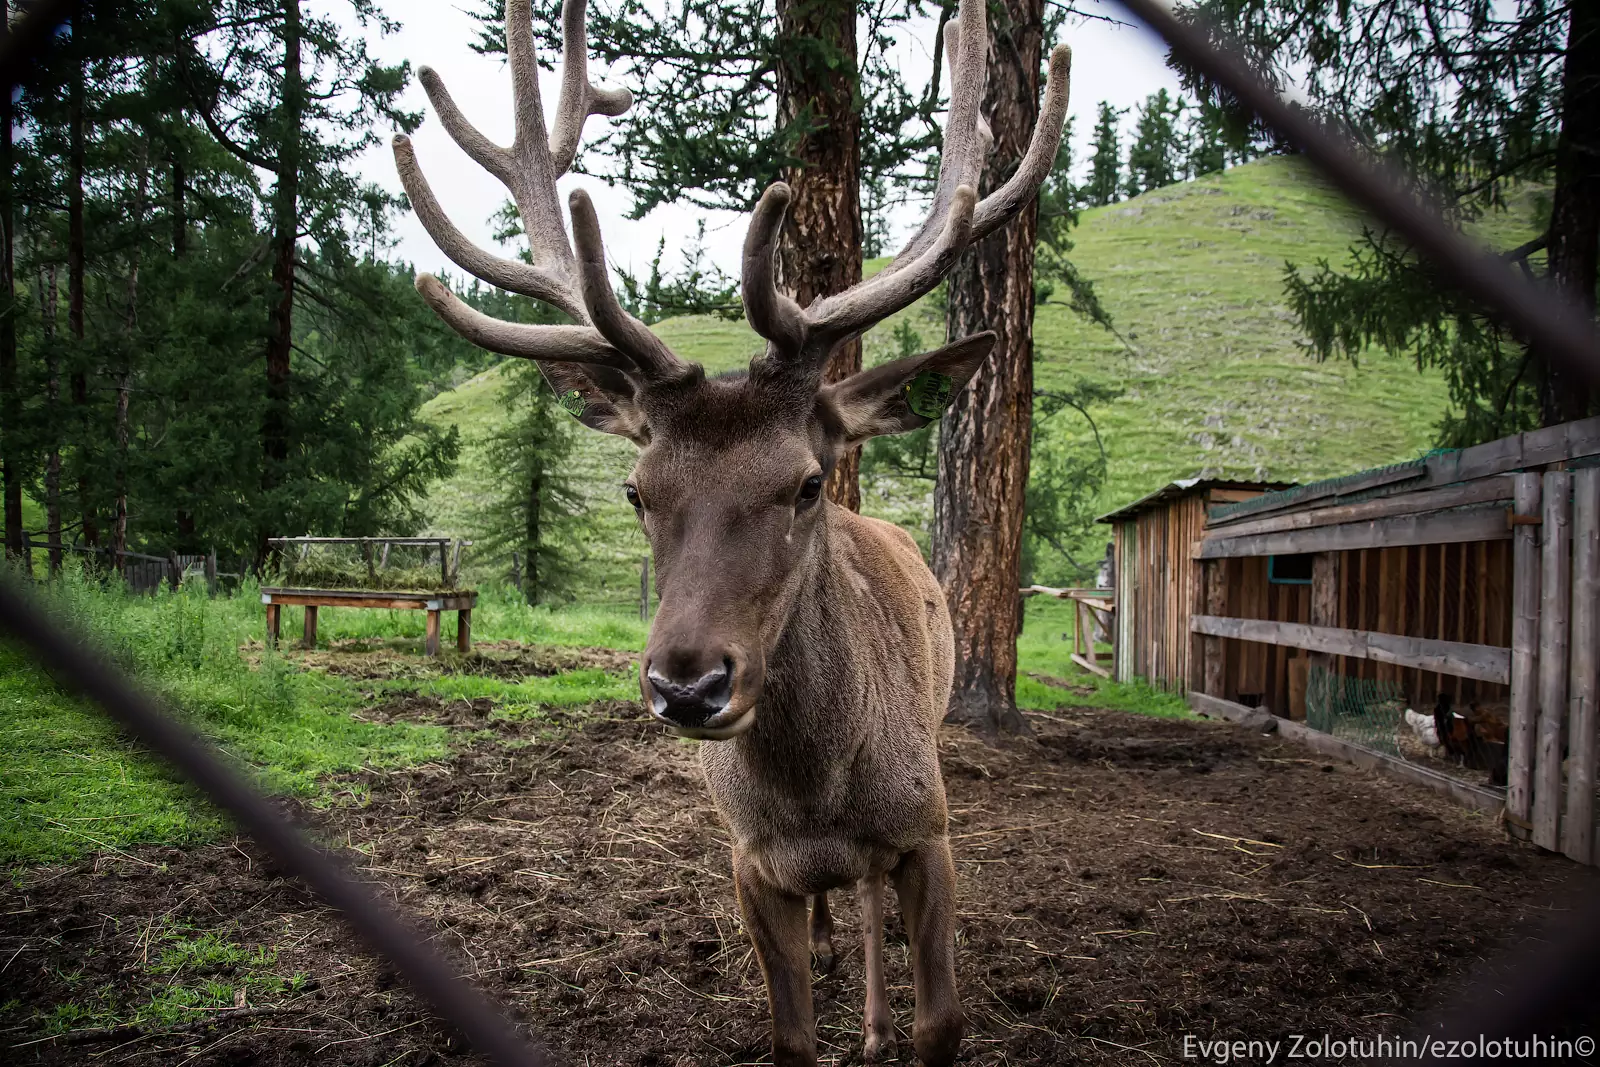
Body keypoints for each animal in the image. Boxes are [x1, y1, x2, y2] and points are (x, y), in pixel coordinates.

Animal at [388, 4, 1068, 1062]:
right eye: (636, 490)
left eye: (807, 482)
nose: (688, 682)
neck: (817, 795)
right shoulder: (750, 862)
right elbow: (790, 1034)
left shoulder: (930, 828)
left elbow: (940, 1018)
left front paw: (894, 1025)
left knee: (867, 901)